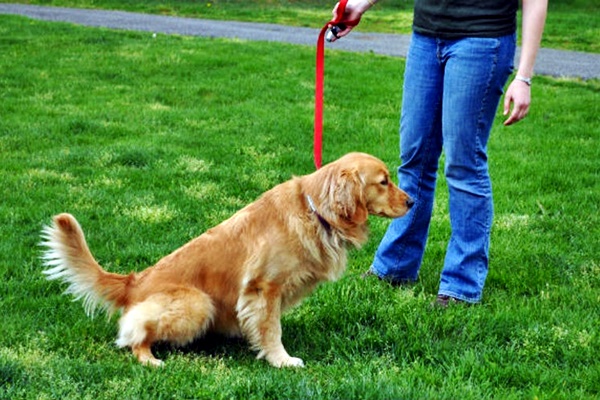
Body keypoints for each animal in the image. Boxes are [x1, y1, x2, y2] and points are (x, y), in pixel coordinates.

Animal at [41, 152, 412, 368]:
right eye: (383, 181)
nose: (413, 201)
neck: (315, 210)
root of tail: (133, 283)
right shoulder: (264, 287)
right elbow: (271, 328)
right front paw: (281, 359)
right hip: (197, 303)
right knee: (133, 335)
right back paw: (149, 358)